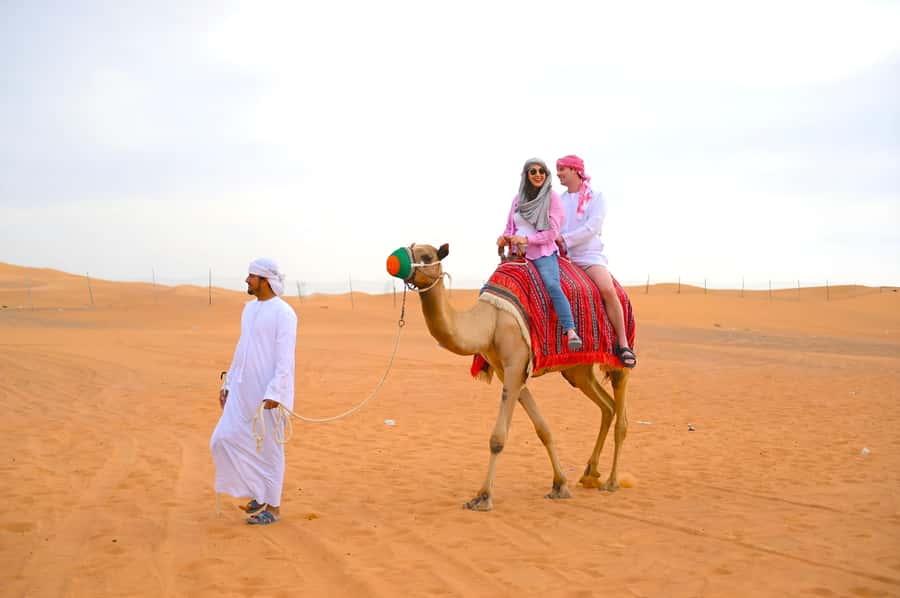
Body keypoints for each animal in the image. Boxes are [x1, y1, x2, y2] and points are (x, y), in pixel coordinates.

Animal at [388, 242, 630, 511]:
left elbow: (497, 438)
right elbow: (543, 428)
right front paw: (560, 485)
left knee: (621, 414)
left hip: (617, 355)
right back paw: (590, 474)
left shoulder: (515, 364)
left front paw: (483, 497)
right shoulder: (508, 371)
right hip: (578, 371)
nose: (393, 260)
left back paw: (612, 481)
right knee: (607, 406)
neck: (491, 321)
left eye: (427, 256)